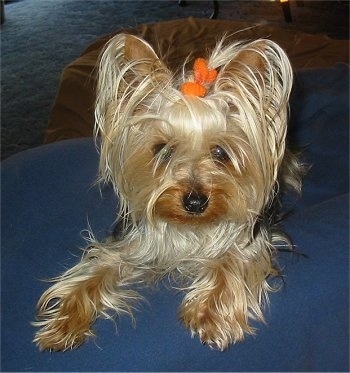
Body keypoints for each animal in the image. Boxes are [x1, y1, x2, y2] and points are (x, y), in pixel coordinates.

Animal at [32, 33, 302, 350]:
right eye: (163, 150)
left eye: (220, 152)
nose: (195, 202)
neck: (189, 227)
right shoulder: (132, 243)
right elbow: (98, 267)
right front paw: (65, 320)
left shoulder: (249, 240)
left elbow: (230, 261)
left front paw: (210, 316)